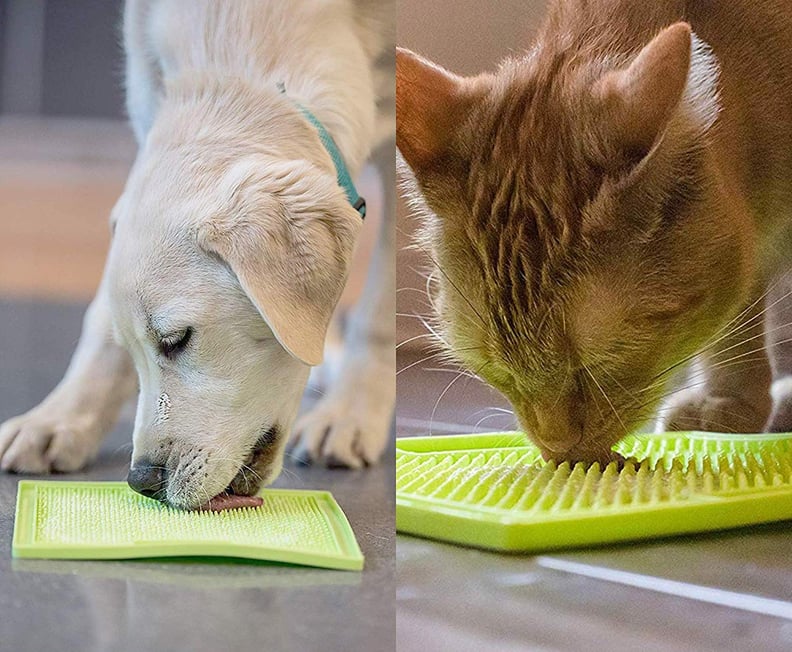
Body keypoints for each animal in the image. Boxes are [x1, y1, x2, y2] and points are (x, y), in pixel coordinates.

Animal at [0, 0, 396, 510]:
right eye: (135, 348)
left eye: (176, 339)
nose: (142, 482)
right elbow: (100, 320)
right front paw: (59, 418)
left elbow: (380, 311)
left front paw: (349, 414)